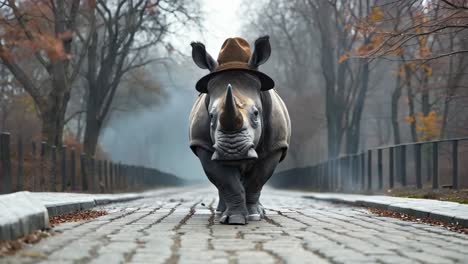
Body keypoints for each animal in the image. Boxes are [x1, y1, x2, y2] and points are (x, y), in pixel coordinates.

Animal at [188, 35, 290, 225]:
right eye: (211, 116)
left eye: (256, 114)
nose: (232, 151)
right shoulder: (203, 145)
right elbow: (226, 182)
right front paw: (233, 218)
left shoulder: (275, 146)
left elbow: (257, 181)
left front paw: (254, 215)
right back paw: (221, 212)